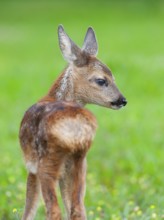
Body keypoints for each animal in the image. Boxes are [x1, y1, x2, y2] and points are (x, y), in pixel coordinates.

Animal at [19, 24, 127, 220]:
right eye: (102, 80)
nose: (122, 100)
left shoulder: (31, 165)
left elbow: (29, 206)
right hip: (80, 161)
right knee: (78, 208)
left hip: (48, 161)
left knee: (54, 209)